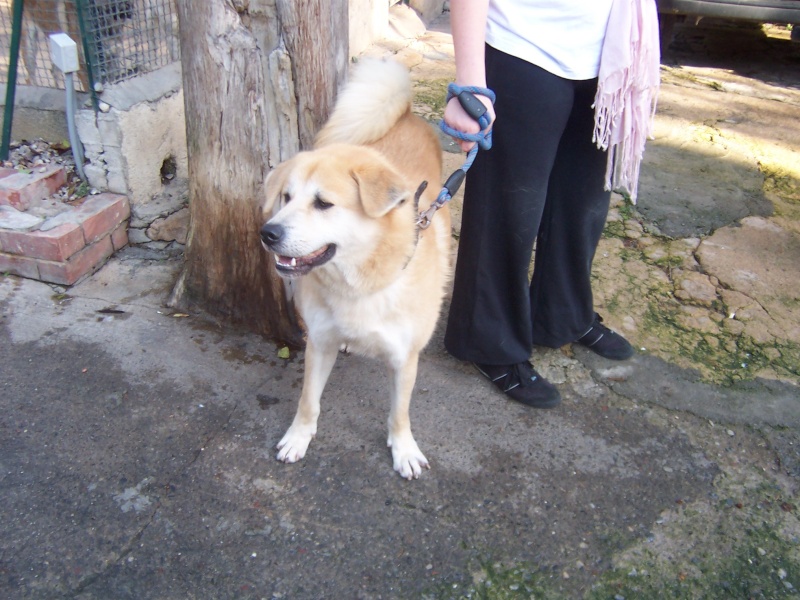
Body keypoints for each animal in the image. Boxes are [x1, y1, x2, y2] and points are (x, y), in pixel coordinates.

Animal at [260, 58, 450, 480]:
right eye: (286, 197)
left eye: (323, 203)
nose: (268, 233)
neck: (359, 283)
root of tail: (406, 111)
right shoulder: (318, 342)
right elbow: (308, 400)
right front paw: (299, 437)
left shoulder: (405, 358)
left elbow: (399, 413)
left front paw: (404, 449)